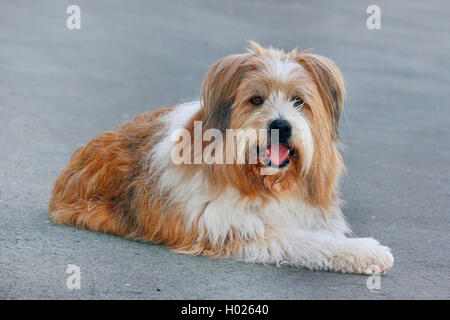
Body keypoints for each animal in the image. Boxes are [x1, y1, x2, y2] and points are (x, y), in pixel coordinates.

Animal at [50, 41, 394, 274]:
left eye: (299, 101)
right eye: (256, 100)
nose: (280, 126)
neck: (261, 178)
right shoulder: (229, 227)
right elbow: (306, 241)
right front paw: (367, 252)